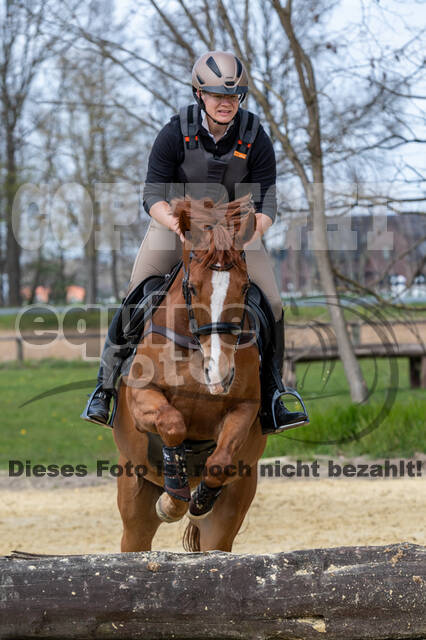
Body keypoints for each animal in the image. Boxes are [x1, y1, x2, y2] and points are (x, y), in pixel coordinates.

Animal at [113, 195, 266, 552]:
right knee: (134, 538)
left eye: (245, 288)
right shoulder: (142, 398)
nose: (219, 374)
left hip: (233, 505)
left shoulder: (245, 408)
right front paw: (172, 499)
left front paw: (198, 500)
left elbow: (221, 460)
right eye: (193, 288)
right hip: (134, 492)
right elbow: (172, 422)